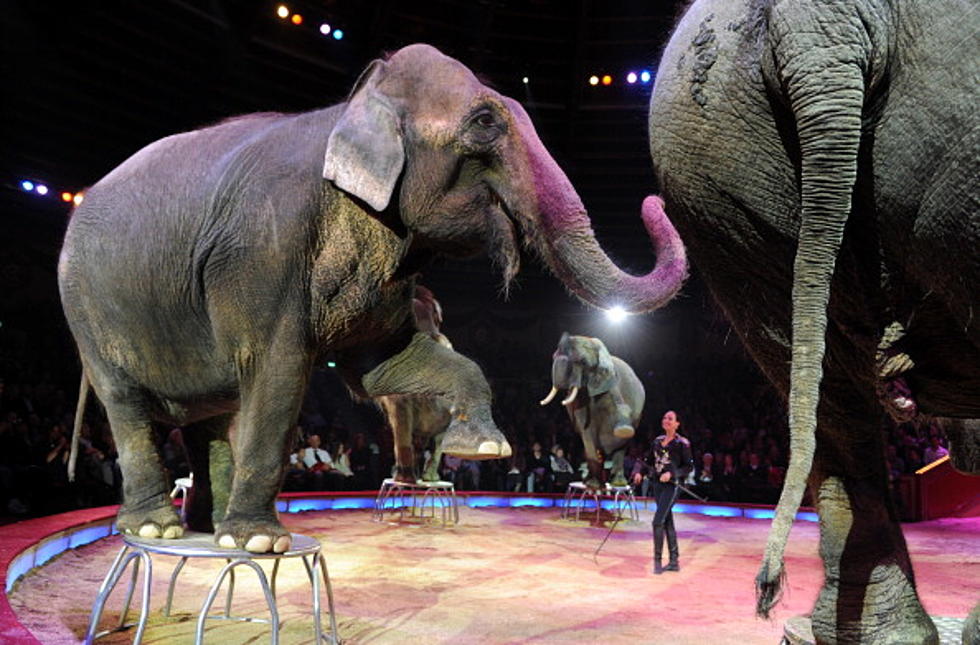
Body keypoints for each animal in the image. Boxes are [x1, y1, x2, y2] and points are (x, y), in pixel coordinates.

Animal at [536, 332, 644, 488]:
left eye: (583, 362)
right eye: (553, 356)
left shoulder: (609, 380)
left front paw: (623, 429)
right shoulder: (580, 398)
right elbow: (586, 430)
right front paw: (593, 485)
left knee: (621, 448)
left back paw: (618, 483)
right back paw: (588, 481)